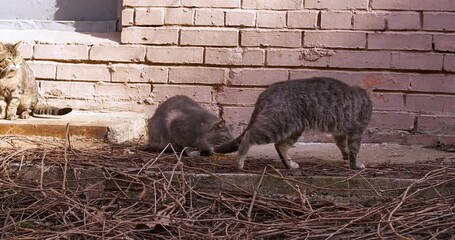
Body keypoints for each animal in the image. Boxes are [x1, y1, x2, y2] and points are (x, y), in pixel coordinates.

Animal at [216, 78, 372, 170]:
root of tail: (267, 91)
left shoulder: (340, 132)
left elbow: (342, 145)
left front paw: (345, 156)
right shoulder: (356, 130)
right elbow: (354, 150)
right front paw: (354, 165)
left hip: (294, 129)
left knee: (280, 145)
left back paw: (290, 164)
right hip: (277, 125)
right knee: (249, 135)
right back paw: (239, 161)